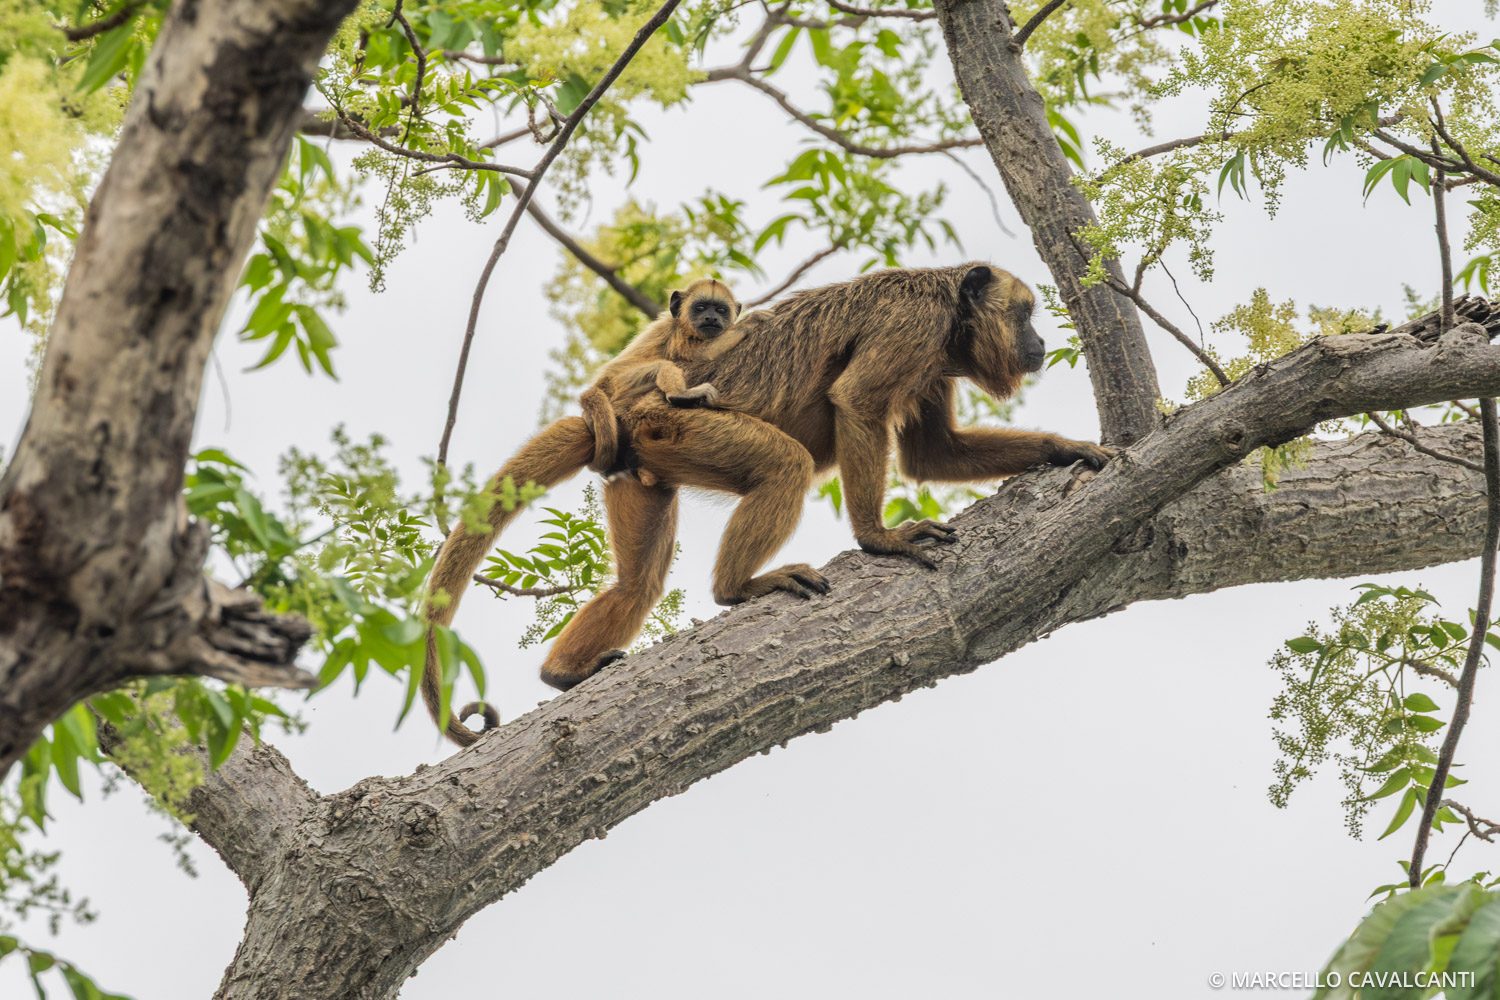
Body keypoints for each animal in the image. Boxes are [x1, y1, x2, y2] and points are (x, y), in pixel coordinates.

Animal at [420, 278, 747, 746]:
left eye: (719, 309)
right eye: (702, 307)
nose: (711, 321)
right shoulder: (667, 332)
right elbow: (664, 359)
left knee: (638, 585)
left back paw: (563, 675)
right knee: (649, 370)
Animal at [530, 263, 1114, 692]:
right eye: (1024, 314)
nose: (1040, 342)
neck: (950, 314)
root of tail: (626, 409)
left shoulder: (934, 360)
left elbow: (935, 456)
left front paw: (1062, 448)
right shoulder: (914, 323)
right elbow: (855, 401)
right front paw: (879, 539)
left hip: (641, 461)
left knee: (637, 584)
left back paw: (563, 673)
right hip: (675, 424)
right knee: (787, 464)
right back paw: (736, 588)